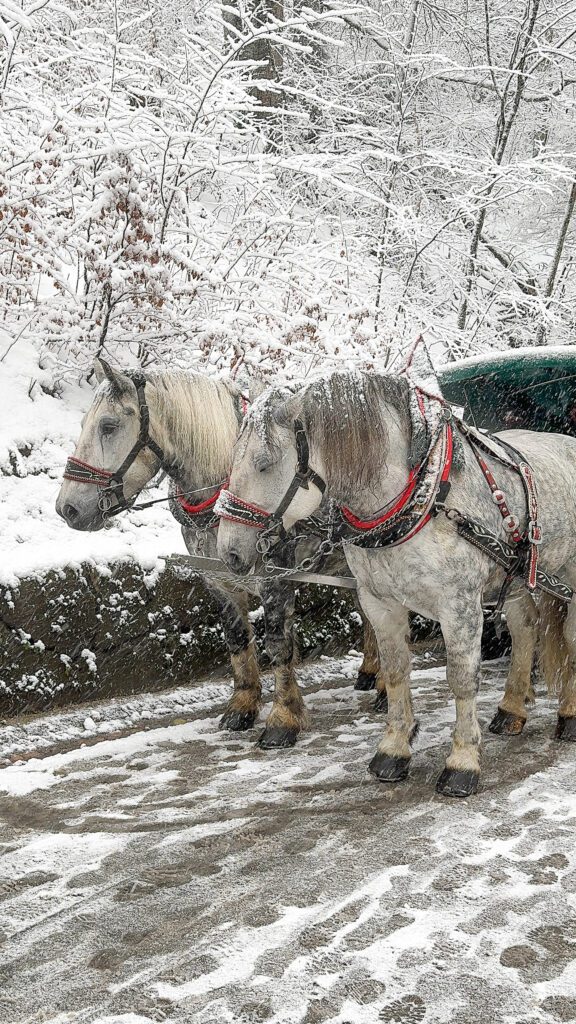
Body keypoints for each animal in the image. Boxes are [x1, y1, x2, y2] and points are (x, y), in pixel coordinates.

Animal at [56, 358, 381, 745]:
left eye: (108, 425)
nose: (67, 508)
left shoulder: (275, 580)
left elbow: (278, 645)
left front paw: (284, 719)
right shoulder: (217, 578)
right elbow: (237, 639)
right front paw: (242, 706)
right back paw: (372, 672)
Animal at [216, 372, 573, 794]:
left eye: (264, 464)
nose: (229, 553)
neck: (423, 496)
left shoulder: (460, 606)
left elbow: (462, 679)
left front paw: (462, 762)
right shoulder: (380, 603)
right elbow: (396, 670)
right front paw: (393, 750)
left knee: (569, 636)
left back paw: (568, 715)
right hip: (516, 580)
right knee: (525, 629)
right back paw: (512, 709)